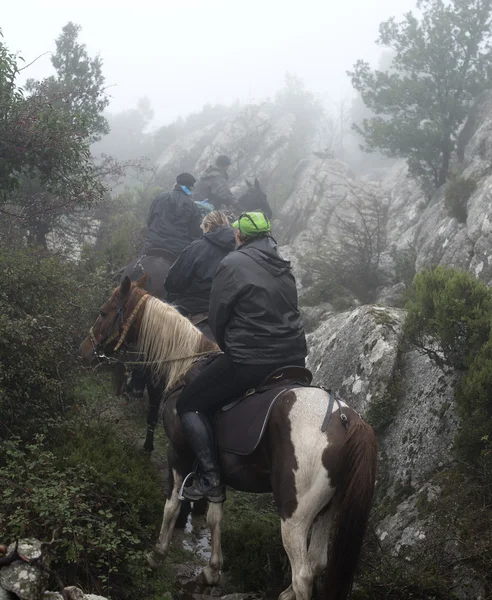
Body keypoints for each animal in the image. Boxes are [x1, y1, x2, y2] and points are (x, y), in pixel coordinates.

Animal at [80, 276, 378, 600]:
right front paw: (210, 572)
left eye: (104, 312)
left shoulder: (179, 454)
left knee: (303, 575)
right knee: (318, 562)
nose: (85, 350)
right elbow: (214, 515)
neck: (186, 366)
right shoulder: (215, 472)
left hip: (295, 518)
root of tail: (345, 418)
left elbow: (171, 505)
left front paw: (156, 554)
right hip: (328, 509)